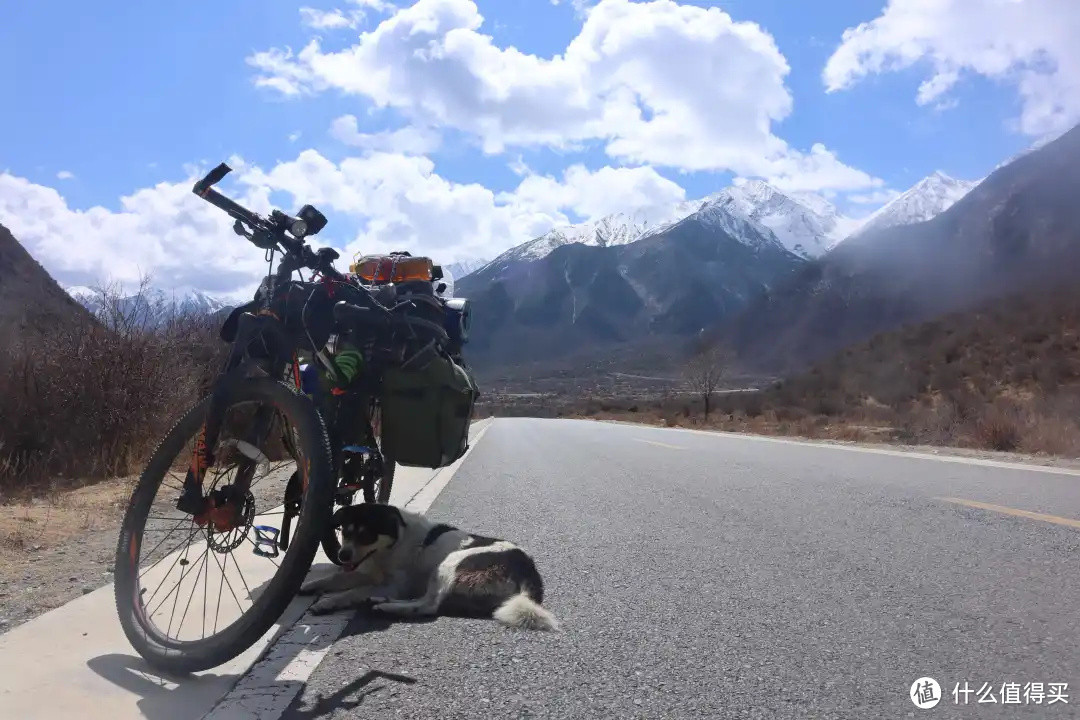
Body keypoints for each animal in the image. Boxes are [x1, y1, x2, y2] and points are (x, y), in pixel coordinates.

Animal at [302, 500, 561, 630]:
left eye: (366, 535)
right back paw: (380, 601)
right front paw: (311, 586)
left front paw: (328, 602)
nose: (343, 555)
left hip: (450, 563)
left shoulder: (393, 584)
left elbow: (352, 592)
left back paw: (385, 607)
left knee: (428, 606)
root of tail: (528, 568)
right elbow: (336, 579)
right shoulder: (367, 573)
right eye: (345, 532)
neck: (395, 542)